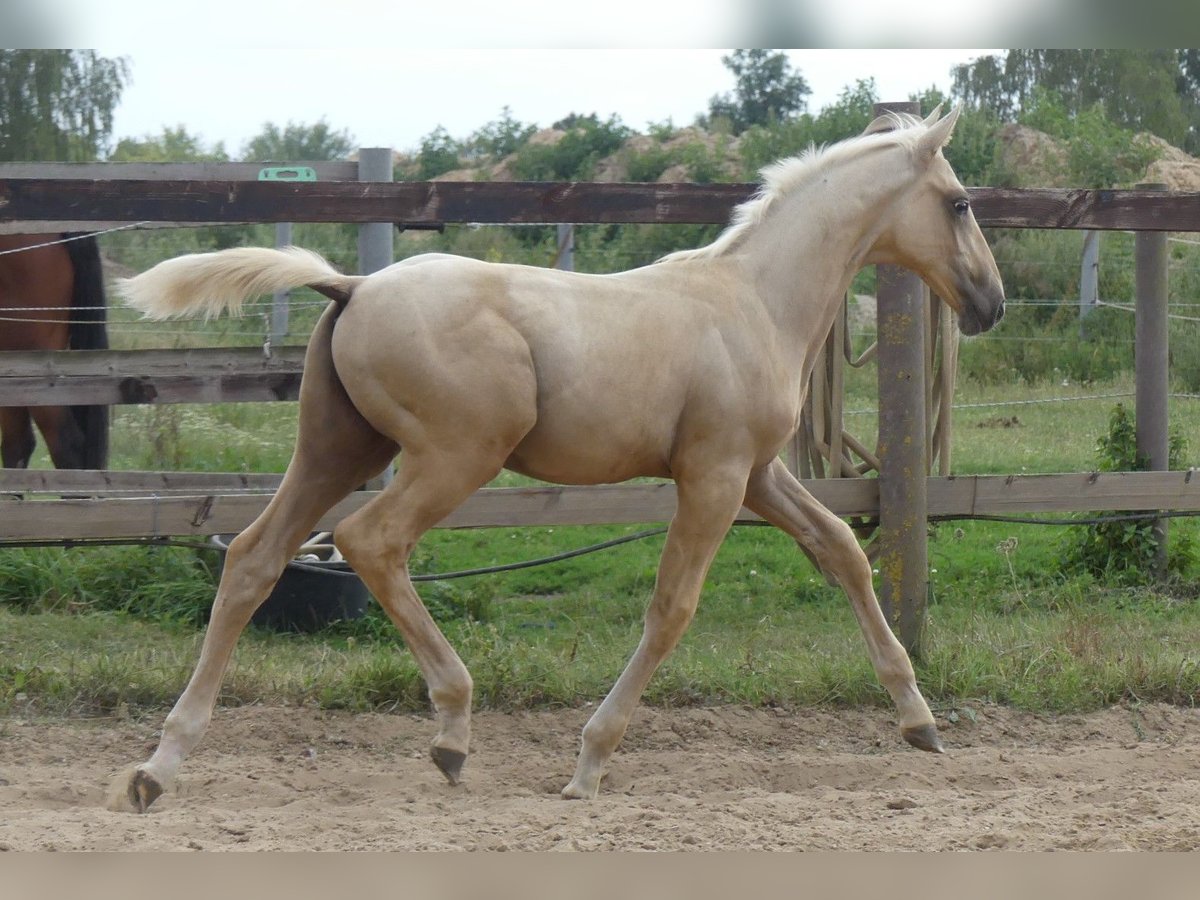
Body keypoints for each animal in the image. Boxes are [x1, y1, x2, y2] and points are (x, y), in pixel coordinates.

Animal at [105, 107, 1003, 816]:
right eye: (958, 202)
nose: (990, 303)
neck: (753, 302)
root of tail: (352, 286)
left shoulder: (758, 474)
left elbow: (843, 550)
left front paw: (920, 722)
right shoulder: (712, 478)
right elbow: (672, 609)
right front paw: (590, 763)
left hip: (337, 449)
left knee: (254, 559)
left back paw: (159, 767)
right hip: (456, 456)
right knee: (371, 541)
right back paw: (452, 730)